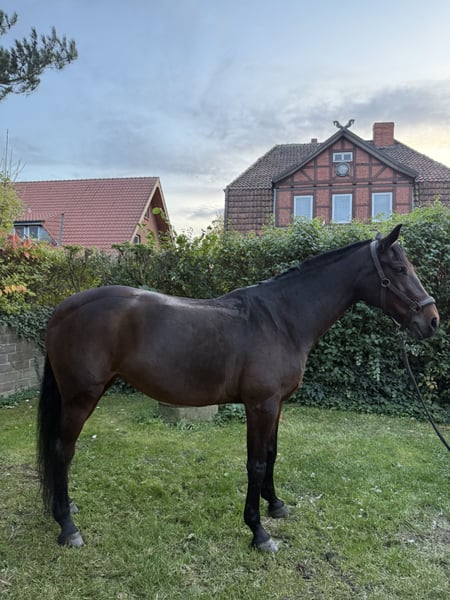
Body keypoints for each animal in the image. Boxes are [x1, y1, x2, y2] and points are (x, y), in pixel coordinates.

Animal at [37, 224, 439, 552]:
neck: (281, 319)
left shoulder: (277, 404)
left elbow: (273, 454)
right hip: (81, 397)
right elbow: (256, 463)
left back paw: (64, 506)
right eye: (400, 270)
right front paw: (259, 532)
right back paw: (67, 526)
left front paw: (275, 505)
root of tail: (62, 308)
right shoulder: (260, 404)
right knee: (62, 449)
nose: (432, 320)